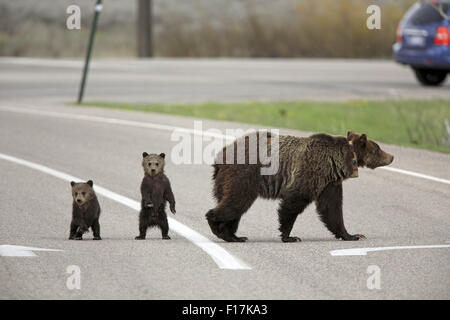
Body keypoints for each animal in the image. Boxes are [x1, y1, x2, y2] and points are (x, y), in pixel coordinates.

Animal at [206, 131, 392, 242]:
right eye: (378, 148)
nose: (391, 156)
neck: (338, 162)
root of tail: (221, 155)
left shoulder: (330, 183)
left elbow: (332, 209)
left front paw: (352, 234)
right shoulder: (311, 172)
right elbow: (294, 202)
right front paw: (289, 236)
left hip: (226, 180)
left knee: (233, 205)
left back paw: (233, 235)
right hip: (244, 174)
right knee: (236, 202)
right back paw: (218, 227)